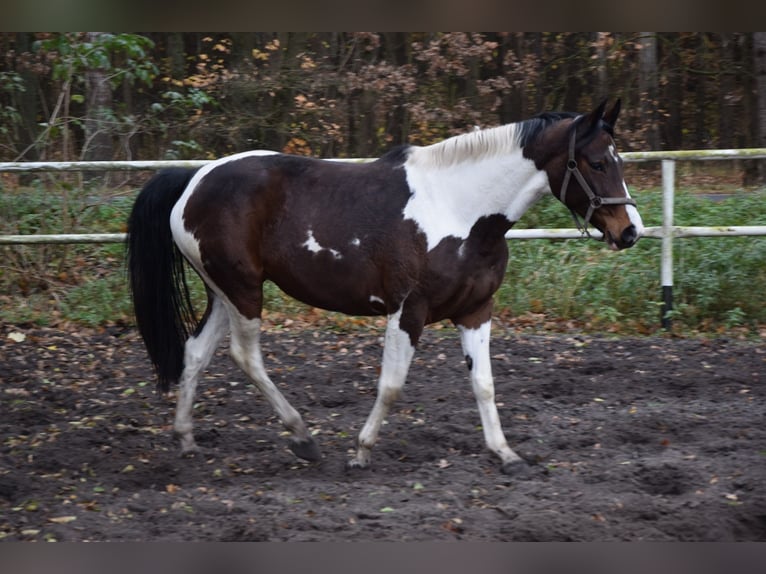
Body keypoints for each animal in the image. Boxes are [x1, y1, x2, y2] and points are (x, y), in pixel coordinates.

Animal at [126, 100, 640, 476]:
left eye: (618, 160)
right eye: (597, 162)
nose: (630, 231)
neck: (461, 209)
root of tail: (194, 178)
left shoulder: (477, 310)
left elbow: (484, 384)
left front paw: (506, 454)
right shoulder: (407, 311)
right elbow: (391, 386)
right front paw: (362, 450)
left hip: (223, 292)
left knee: (196, 352)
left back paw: (187, 439)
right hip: (244, 291)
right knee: (245, 357)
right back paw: (303, 438)